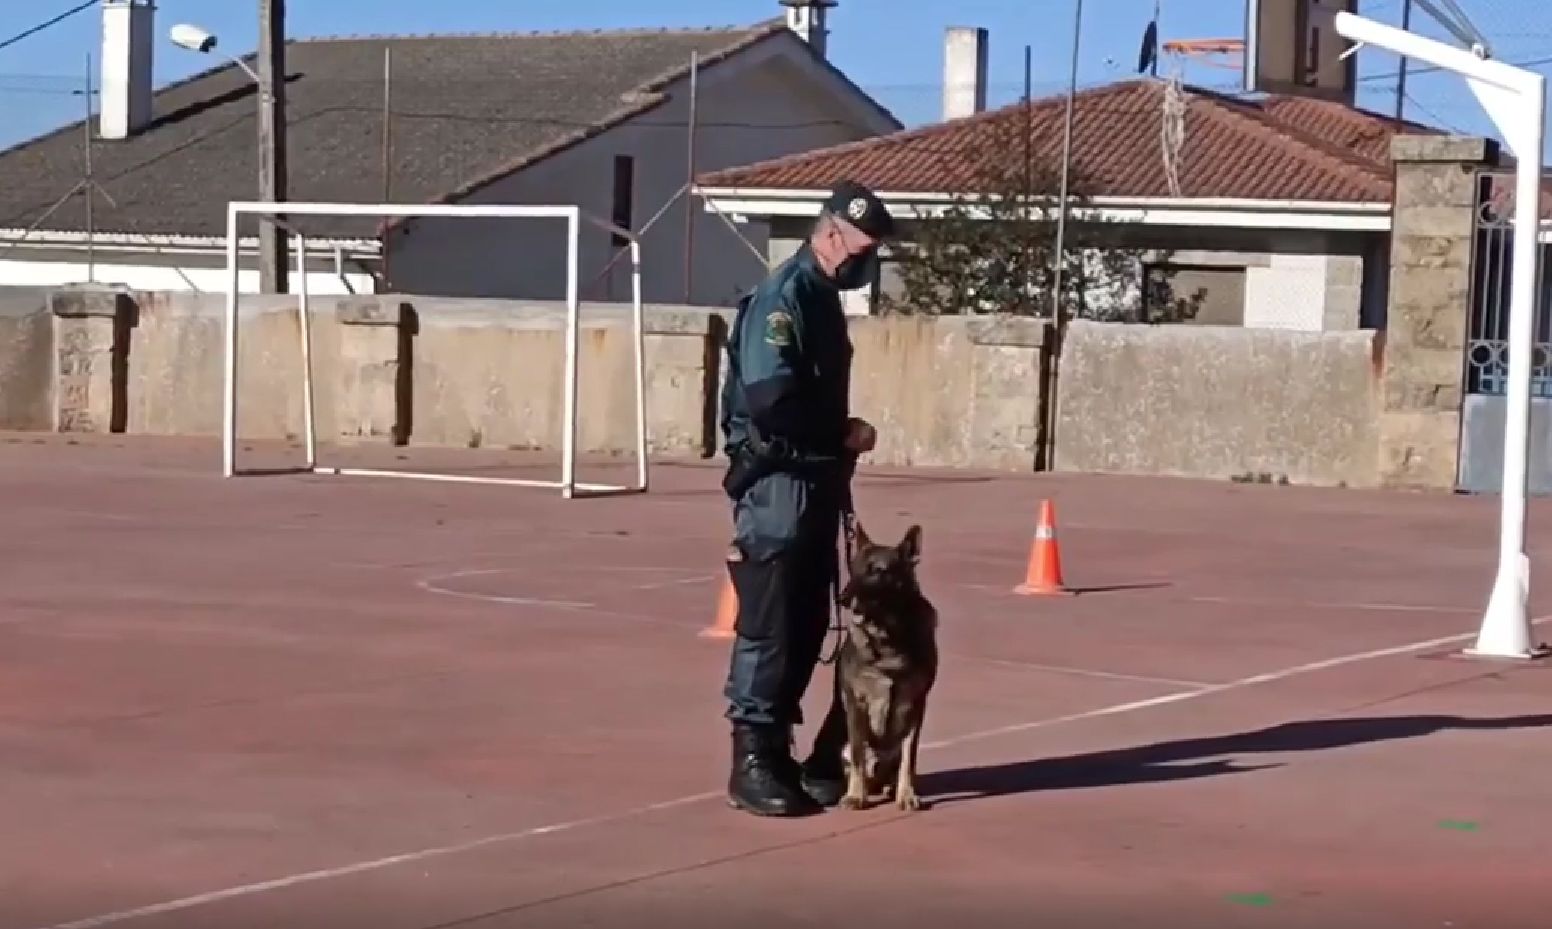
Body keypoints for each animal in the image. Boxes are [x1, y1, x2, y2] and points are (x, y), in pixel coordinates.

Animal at [838, 524, 931, 812]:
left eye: (877, 571)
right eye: (853, 569)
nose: (843, 598)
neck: (888, 636)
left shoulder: (916, 706)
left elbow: (909, 760)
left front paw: (907, 794)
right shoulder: (856, 704)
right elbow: (858, 756)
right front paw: (856, 795)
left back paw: (891, 787)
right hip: (846, 746)